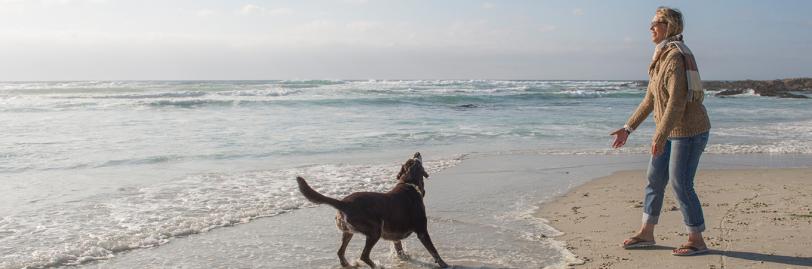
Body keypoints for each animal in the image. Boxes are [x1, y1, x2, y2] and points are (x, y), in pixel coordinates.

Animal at [296, 152, 450, 266]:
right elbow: (434, 251)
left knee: (340, 252)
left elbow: (399, 248)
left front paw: (404, 258)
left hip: (348, 232)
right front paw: (444, 265)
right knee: (364, 255)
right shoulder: (422, 230)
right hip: (375, 230)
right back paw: (376, 266)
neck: (409, 183)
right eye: (416, 160)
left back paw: (348, 265)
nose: (417, 152)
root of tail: (343, 202)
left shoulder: (395, 234)